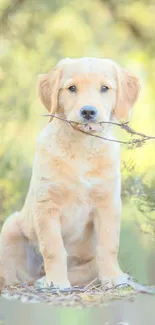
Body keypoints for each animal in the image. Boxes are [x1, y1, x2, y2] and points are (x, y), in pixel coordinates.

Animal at [0, 57, 139, 288]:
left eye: (104, 88)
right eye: (72, 88)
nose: (88, 112)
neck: (82, 146)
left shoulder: (108, 203)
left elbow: (109, 245)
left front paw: (113, 277)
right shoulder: (46, 204)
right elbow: (53, 248)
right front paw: (56, 281)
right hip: (10, 227)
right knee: (12, 273)